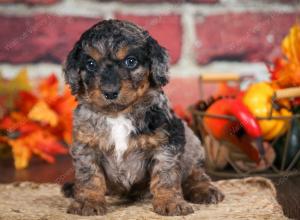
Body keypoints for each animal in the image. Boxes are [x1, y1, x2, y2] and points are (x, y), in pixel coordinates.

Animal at [62, 19, 224, 217]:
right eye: (91, 64)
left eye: (131, 61)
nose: (110, 92)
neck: (118, 115)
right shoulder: (85, 145)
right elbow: (88, 175)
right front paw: (88, 201)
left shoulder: (167, 141)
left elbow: (166, 174)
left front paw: (170, 202)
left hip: (191, 140)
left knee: (195, 172)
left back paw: (204, 189)